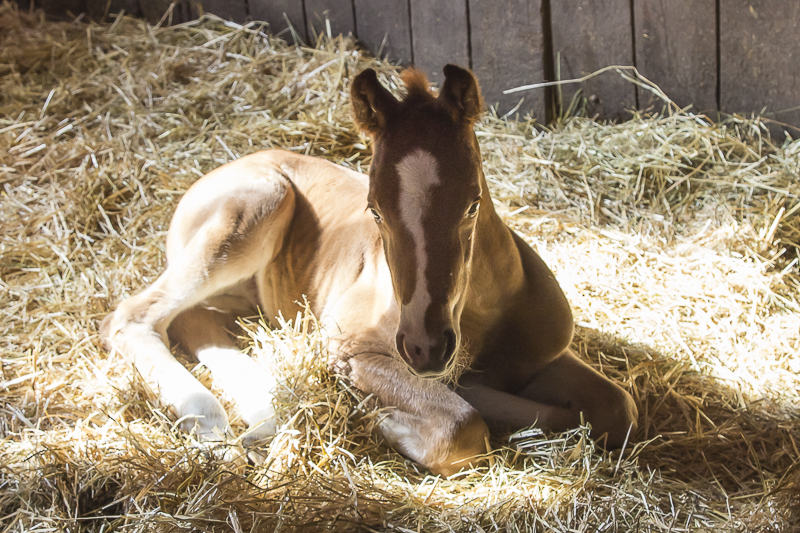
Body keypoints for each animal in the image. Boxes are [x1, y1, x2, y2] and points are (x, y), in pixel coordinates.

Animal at [100, 64, 636, 476]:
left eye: (472, 204)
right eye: (374, 210)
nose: (425, 347)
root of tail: (218, 170)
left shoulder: (540, 359)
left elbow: (618, 410)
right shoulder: (351, 347)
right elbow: (462, 423)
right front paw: (385, 423)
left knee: (196, 320)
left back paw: (263, 420)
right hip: (257, 207)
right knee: (132, 316)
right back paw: (212, 426)